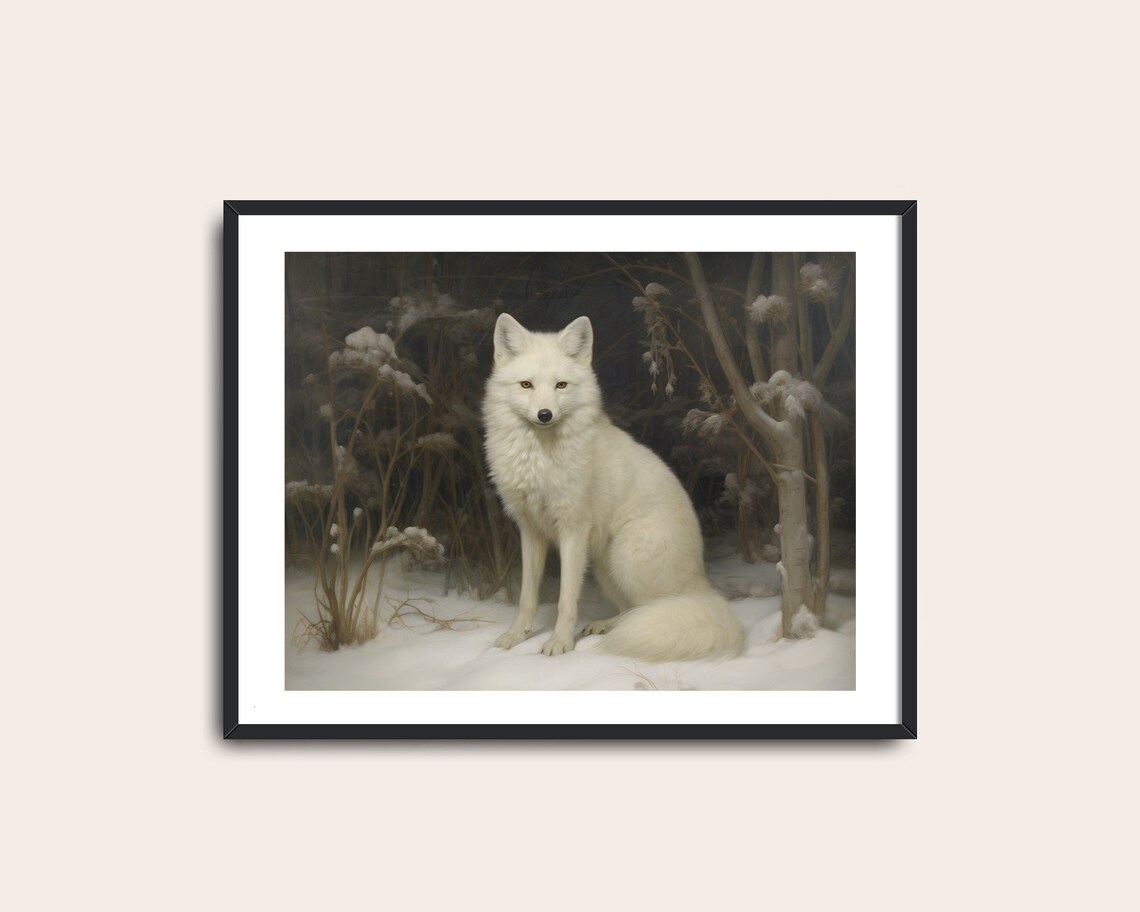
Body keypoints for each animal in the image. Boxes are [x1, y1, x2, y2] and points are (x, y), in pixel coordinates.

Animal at [482, 313, 744, 661]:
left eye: (561, 385)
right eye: (526, 385)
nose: (544, 414)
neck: (540, 458)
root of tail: (702, 586)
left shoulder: (573, 530)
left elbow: (566, 599)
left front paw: (560, 642)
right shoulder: (531, 530)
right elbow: (527, 596)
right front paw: (516, 635)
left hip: (623, 558)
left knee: (648, 612)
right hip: (603, 566)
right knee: (629, 609)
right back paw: (606, 625)